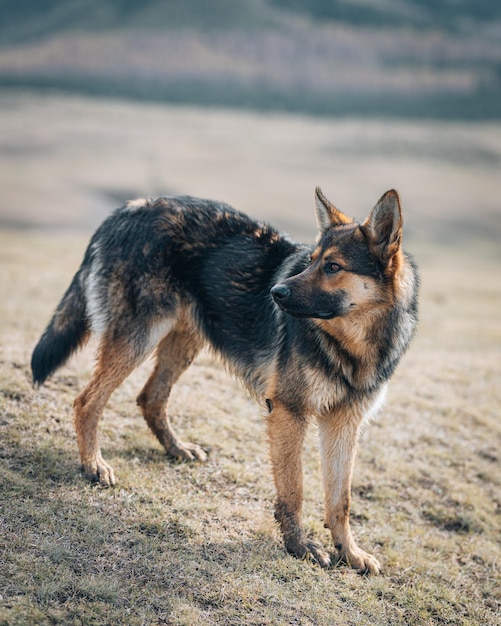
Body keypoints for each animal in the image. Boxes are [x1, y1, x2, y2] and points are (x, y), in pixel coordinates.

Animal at [32, 188, 418, 572]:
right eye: (310, 261)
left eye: (333, 267)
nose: (275, 293)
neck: (353, 344)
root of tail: (131, 208)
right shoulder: (289, 413)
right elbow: (294, 489)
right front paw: (299, 546)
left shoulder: (343, 424)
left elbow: (341, 500)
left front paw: (349, 553)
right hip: (138, 338)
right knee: (87, 401)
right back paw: (93, 465)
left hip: (184, 342)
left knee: (150, 398)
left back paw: (177, 449)